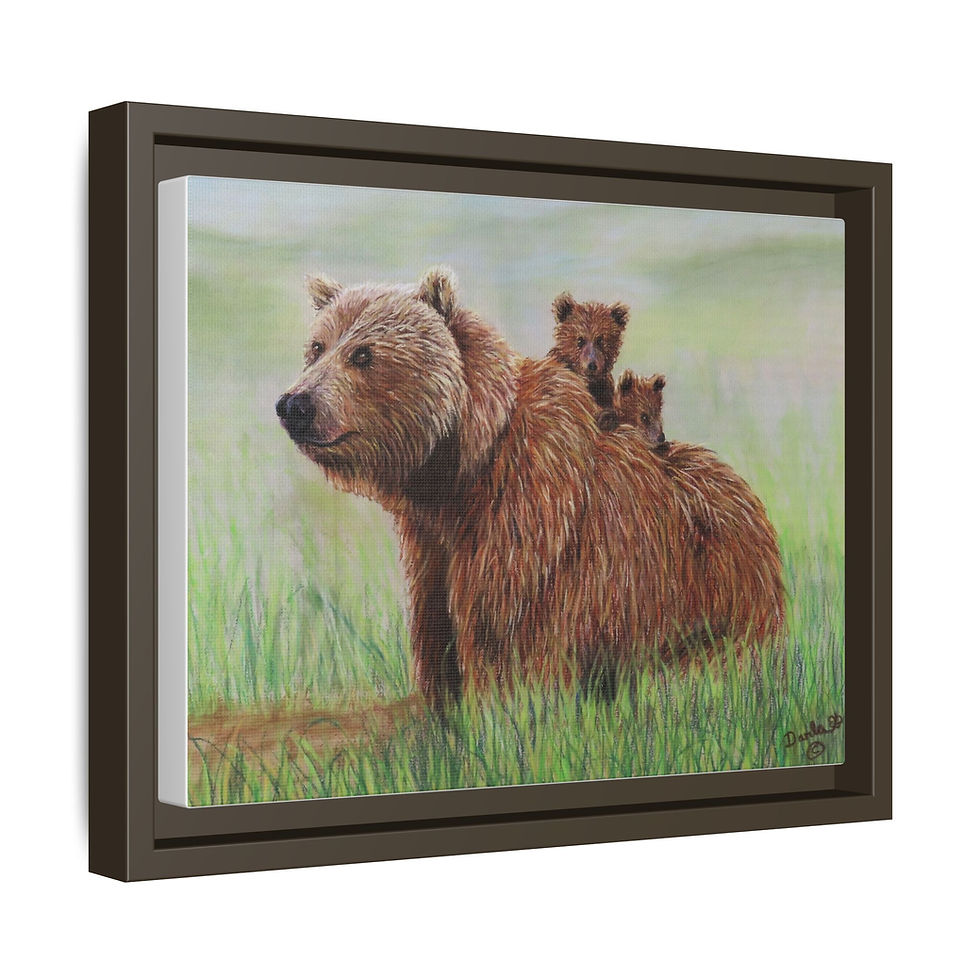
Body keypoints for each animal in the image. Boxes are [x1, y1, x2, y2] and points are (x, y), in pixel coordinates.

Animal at [277, 267, 784, 708]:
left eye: (363, 354)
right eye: (317, 347)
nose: (294, 404)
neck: (457, 472)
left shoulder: (530, 525)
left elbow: (509, 640)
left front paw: (502, 710)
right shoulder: (431, 544)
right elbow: (436, 629)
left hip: (718, 591)